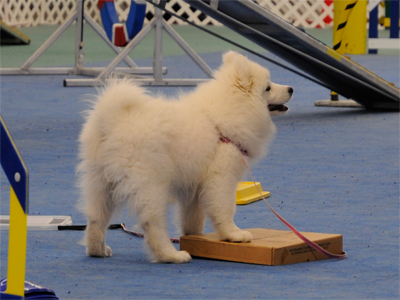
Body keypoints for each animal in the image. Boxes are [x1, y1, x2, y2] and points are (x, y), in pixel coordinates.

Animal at [76, 51, 292, 262]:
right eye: (268, 88)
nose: (291, 89)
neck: (225, 116)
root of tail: (112, 122)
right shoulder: (222, 177)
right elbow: (225, 209)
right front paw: (233, 234)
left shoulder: (195, 187)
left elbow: (193, 217)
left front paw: (194, 236)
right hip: (151, 185)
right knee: (152, 223)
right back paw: (171, 255)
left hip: (101, 184)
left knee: (96, 219)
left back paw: (98, 250)